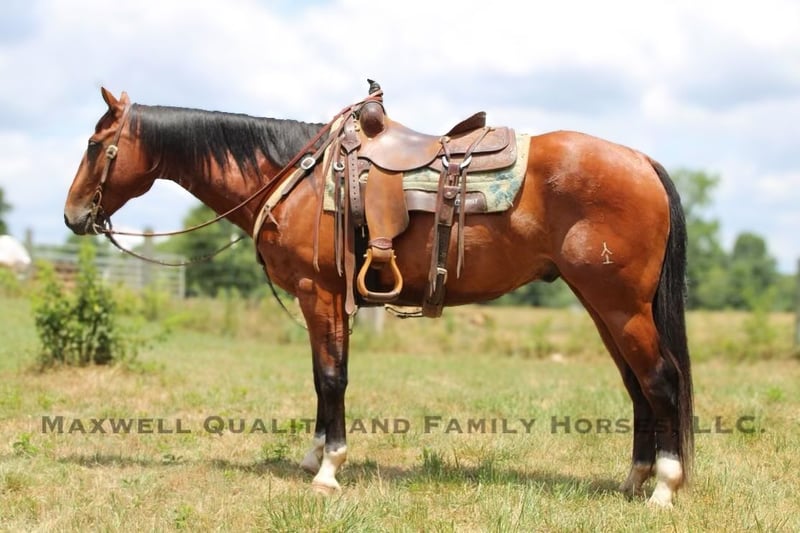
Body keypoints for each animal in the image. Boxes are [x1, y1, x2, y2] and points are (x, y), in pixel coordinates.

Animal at [64, 87, 693, 507]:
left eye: (96, 144)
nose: (72, 216)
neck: (294, 176)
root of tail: (642, 162)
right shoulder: (323, 300)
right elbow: (321, 377)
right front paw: (315, 456)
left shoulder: (320, 293)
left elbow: (331, 378)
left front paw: (329, 470)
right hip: (603, 306)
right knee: (636, 384)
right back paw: (634, 480)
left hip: (619, 306)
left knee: (660, 380)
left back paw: (664, 488)